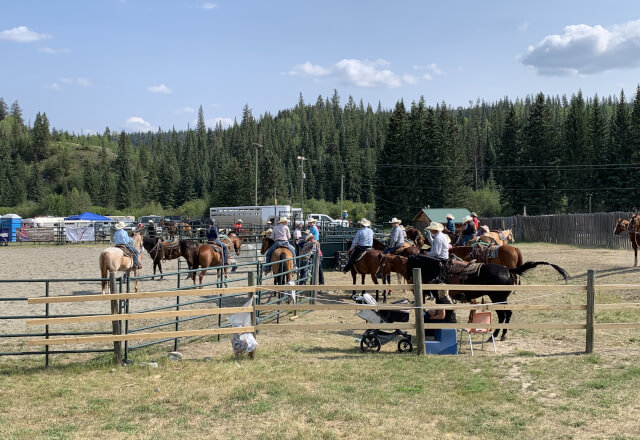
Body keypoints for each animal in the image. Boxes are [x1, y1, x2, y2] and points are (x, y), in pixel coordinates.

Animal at [404, 254, 568, 340]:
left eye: (409, 264)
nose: (408, 279)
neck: (440, 270)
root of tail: (509, 270)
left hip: (498, 299)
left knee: (504, 315)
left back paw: (496, 335)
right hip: (499, 299)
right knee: (505, 315)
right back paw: (499, 334)